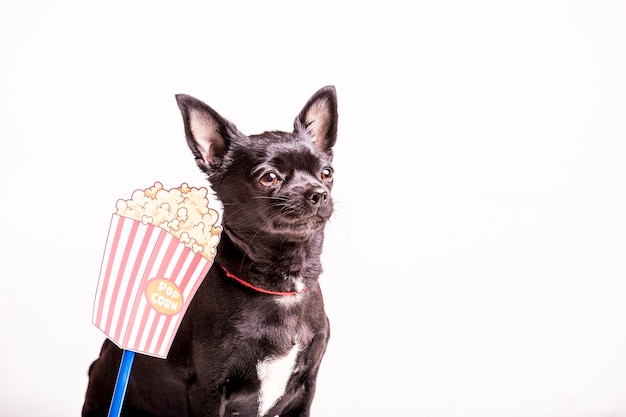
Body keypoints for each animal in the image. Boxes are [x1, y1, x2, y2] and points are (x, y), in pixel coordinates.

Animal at [84, 86, 336, 414]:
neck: (283, 286)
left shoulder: (306, 387)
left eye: (327, 173)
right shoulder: (209, 390)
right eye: (269, 177)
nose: (319, 194)